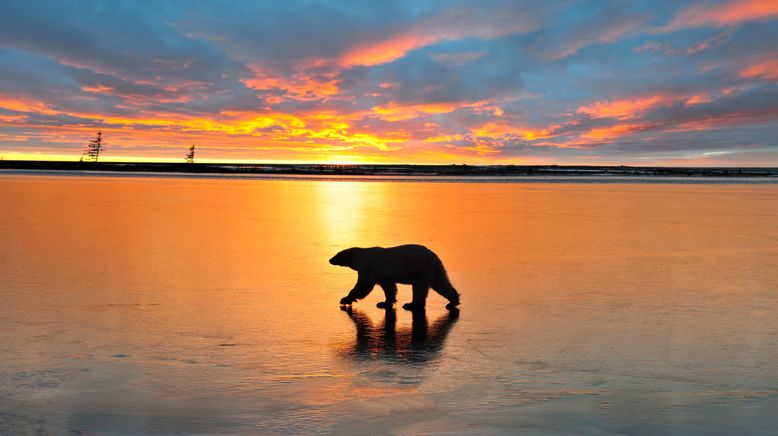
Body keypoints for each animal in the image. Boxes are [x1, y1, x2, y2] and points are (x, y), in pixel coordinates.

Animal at [328, 244, 460, 312]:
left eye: (338, 254)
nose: (330, 260)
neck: (363, 258)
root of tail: (434, 257)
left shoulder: (369, 268)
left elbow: (363, 286)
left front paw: (345, 299)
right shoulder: (383, 274)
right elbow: (389, 287)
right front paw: (384, 302)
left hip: (420, 269)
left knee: (419, 287)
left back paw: (411, 304)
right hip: (434, 270)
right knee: (441, 283)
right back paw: (453, 301)